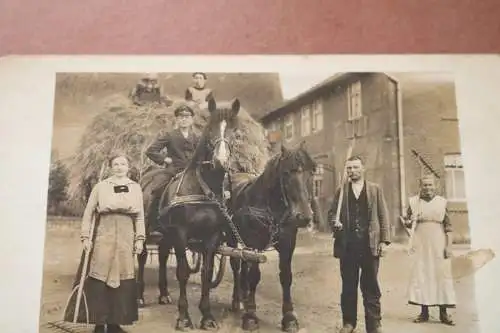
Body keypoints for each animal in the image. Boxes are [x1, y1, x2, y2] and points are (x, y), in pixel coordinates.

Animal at [154, 96, 242, 330]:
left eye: (235, 131)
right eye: (209, 129)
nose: (221, 161)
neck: (202, 188)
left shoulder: (211, 237)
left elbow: (207, 272)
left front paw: (207, 316)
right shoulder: (180, 233)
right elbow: (183, 272)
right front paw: (184, 317)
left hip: (167, 235)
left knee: (163, 254)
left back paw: (164, 293)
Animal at [228, 141, 314, 330]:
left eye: (311, 171)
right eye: (286, 173)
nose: (304, 217)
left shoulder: (288, 244)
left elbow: (286, 277)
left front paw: (289, 317)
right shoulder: (255, 244)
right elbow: (254, 276)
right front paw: (251, 315)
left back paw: (243, 297)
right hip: (231, 238)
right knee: (236, 265)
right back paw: (237, 301)